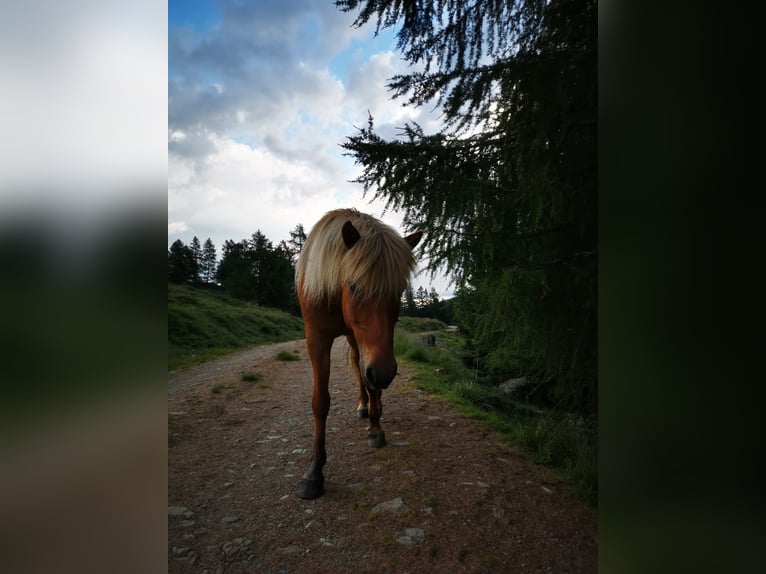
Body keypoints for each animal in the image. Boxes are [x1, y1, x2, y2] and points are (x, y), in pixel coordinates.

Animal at [296, 208, 426, 500]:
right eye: (354, 287)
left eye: (398, 293)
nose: (385, 372)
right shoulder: (316, 339)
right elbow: (320, 402)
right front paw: (314, 472)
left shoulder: (373, 353)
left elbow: (371, 382)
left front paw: (376, 430)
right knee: (358, 368)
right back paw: (362, 405)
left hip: (357, 340)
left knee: (361, 370)